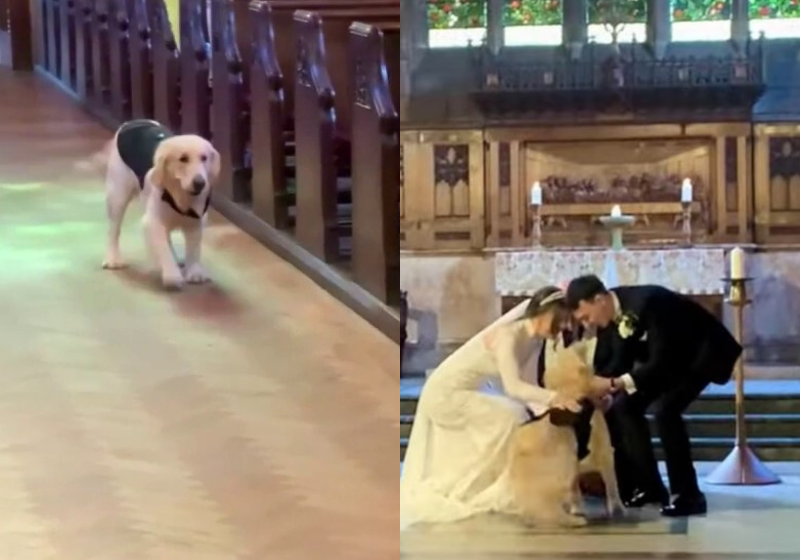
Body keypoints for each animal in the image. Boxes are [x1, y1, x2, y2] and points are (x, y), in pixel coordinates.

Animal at [79, 118, 220, 288]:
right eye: (183, 159)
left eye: (204, 158)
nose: (200, 183)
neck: (180, 194)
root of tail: (133, 122)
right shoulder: (152, 222)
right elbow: (163, 250)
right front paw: (171, 274)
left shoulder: (196, 223)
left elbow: (194, 249)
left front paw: (194, 271)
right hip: (117, 196)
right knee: (113, 231)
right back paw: (113, 259)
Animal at [512, 340, 624, 528]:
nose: (608, 384)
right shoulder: (602, 446)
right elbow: (611, 478)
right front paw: (618, 509)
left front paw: (578, 507)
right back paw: (573, 520)